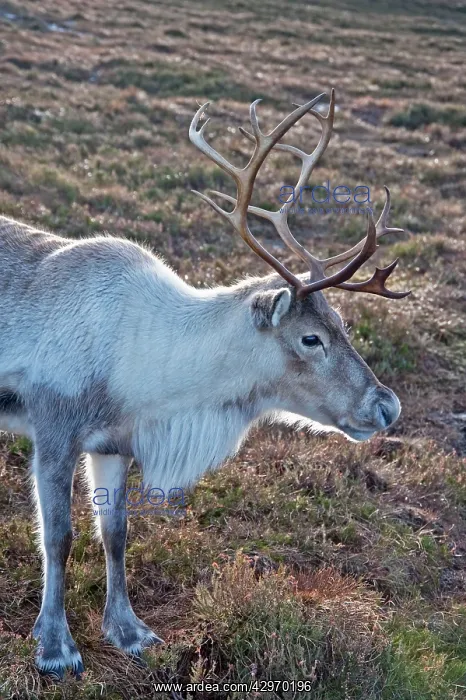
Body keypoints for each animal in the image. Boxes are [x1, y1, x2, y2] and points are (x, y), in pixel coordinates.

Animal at [0, 88, 409, 678]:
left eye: (343, 322)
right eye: (310, 338)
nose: (386, 406)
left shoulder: (114, 444)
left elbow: (115, 534)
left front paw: (128, 631)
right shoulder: (54, 432)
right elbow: (58, 537)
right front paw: (55, 645)